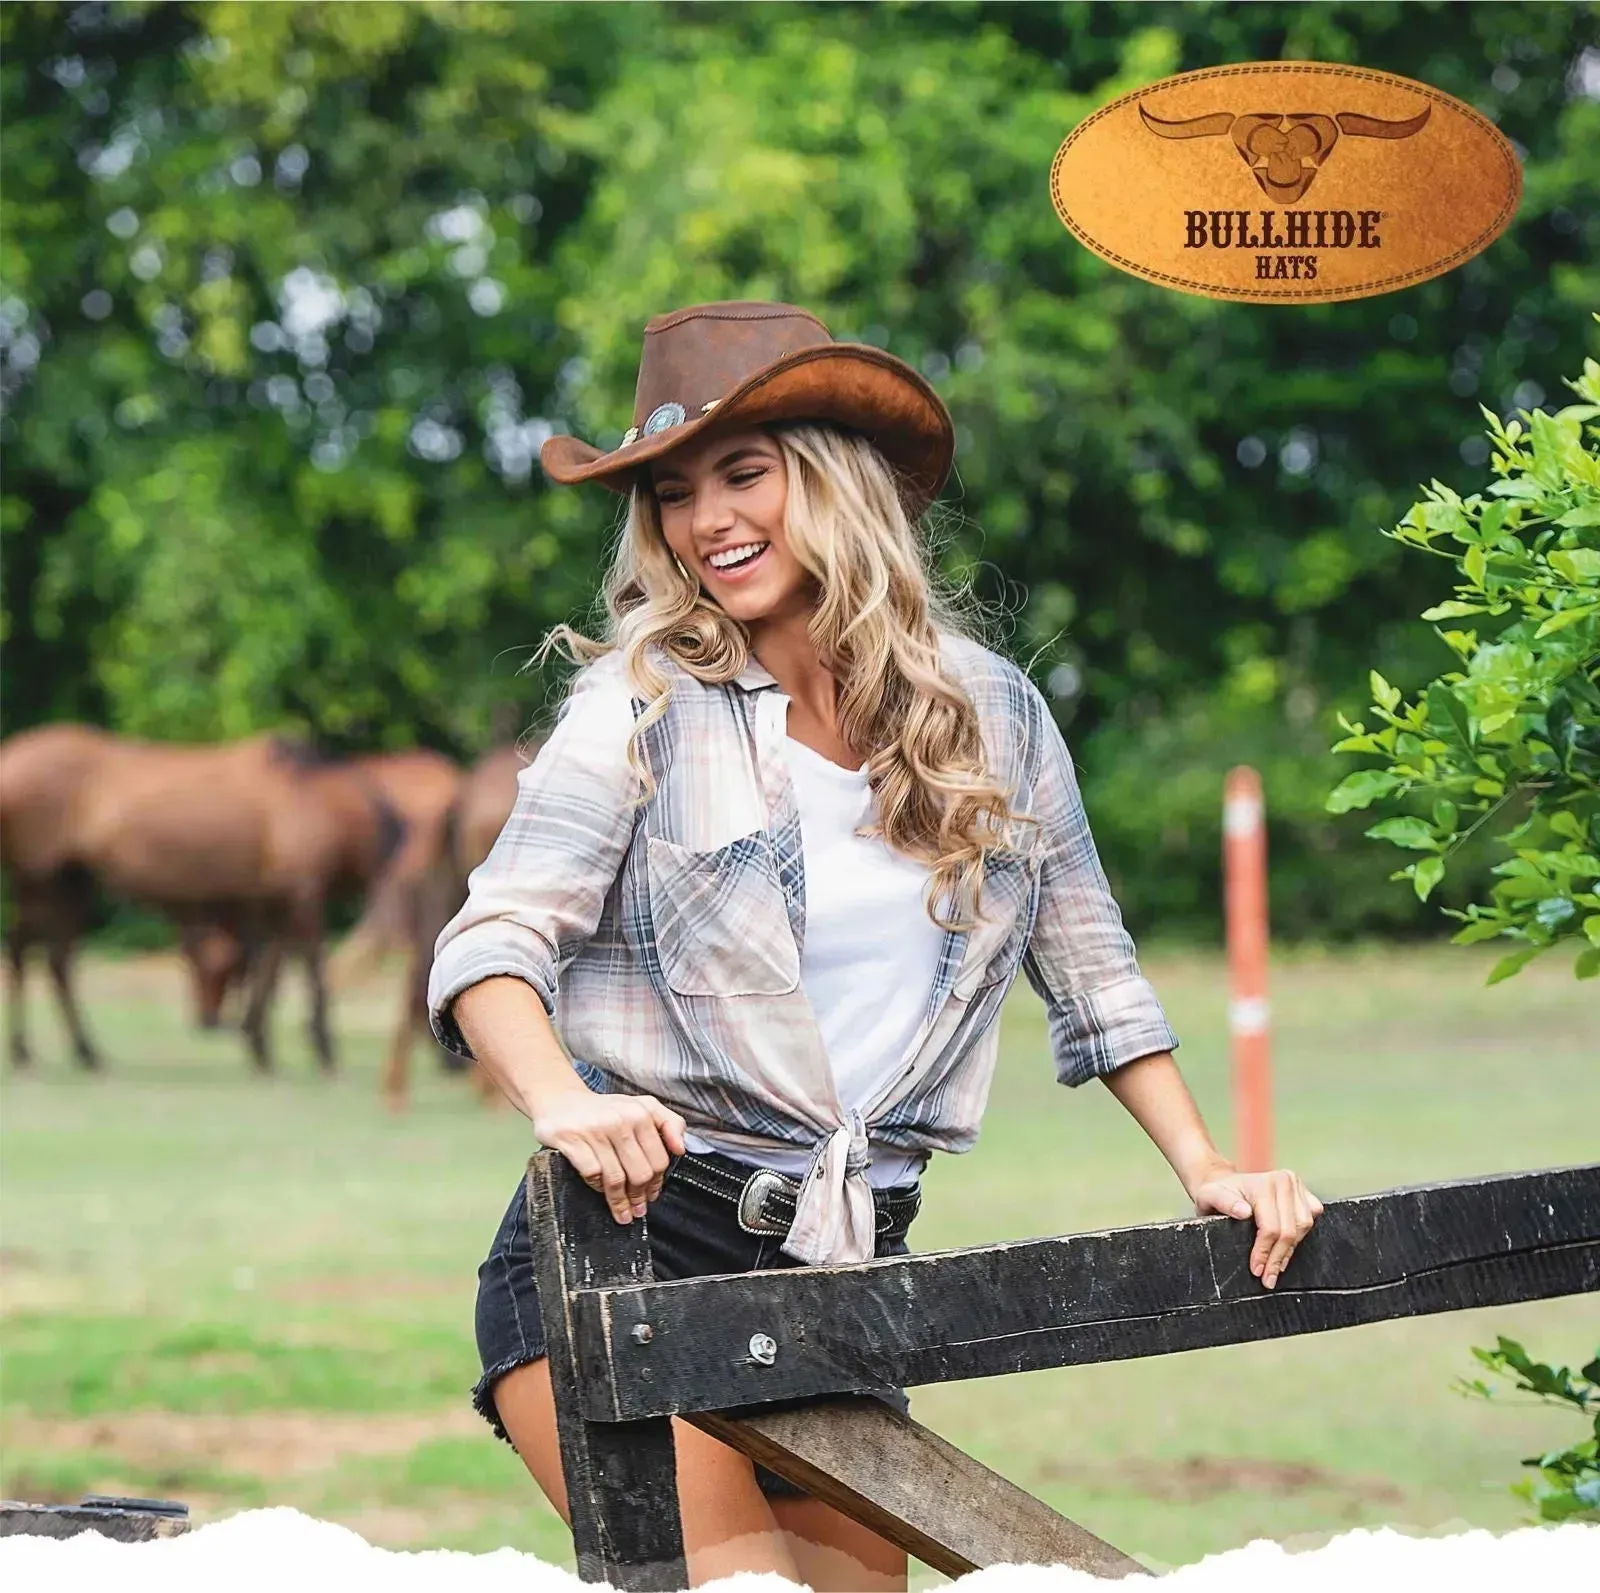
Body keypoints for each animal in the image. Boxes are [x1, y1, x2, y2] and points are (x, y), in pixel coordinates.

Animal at [1, 722, 400, 1068]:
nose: (208, 1023)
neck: (315, 800)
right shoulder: (303, 896)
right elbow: (310, 967)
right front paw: (322, 1046)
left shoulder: (276, 902)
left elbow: (269, 968)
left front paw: (259, 1042)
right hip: (41, 885)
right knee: (31, 956)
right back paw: (45, 1051)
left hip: (69, 886)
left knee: (50, 961)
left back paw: (72, 1051)